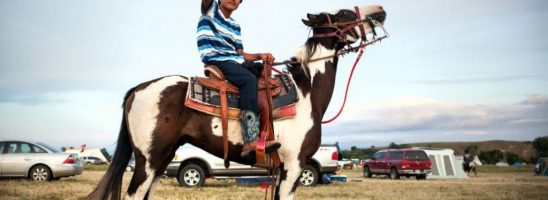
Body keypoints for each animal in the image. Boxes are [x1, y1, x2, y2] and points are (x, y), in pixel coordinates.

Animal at [89, 4, 386, 200]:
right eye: (345, 14)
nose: (380, 11)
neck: (305, 93)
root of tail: (138, 89)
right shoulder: (294, 166)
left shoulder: (281, 170)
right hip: (147, 160)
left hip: (162, 159)